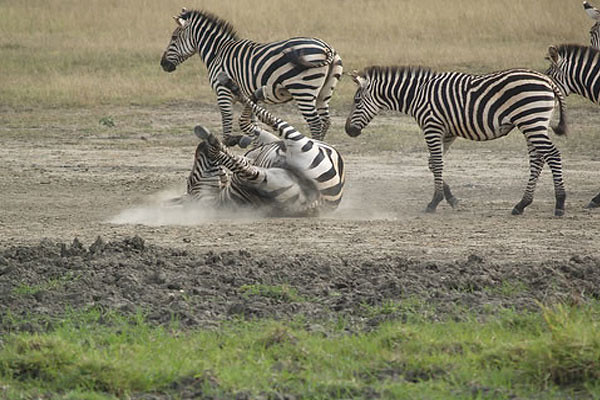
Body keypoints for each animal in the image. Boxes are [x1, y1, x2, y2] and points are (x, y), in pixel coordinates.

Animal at [161, 8, 342, 144]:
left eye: (174, 37)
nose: (163, 64)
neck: (217, 52)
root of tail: (327, 48)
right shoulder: (249, 96)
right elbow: (251, 124)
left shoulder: (222, 92)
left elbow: (227, 126)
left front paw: (232, 143)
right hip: (324, 92)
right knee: (326, 121)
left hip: (302, 89)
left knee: (316, 123)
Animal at [171, 73, 344, 217]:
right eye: (190, 182)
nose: (201, 147)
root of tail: (319, 202)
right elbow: (243, 134)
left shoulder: (263, 143)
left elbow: (247, 126)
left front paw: (240, 139)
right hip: (293, 152)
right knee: (270, 129)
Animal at [346, 65, 568, 216]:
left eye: (356, 101)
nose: (348, 131)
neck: (416, 94)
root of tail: (547, 80)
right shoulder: (447, 132)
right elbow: (433, 163)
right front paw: (451, 198)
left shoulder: (432, 127)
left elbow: (436, 163)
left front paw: (434, 202)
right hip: (533, 124)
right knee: (538, 160)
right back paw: (521, 204)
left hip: (531, 120)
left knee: (552, 155)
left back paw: (559, 203)